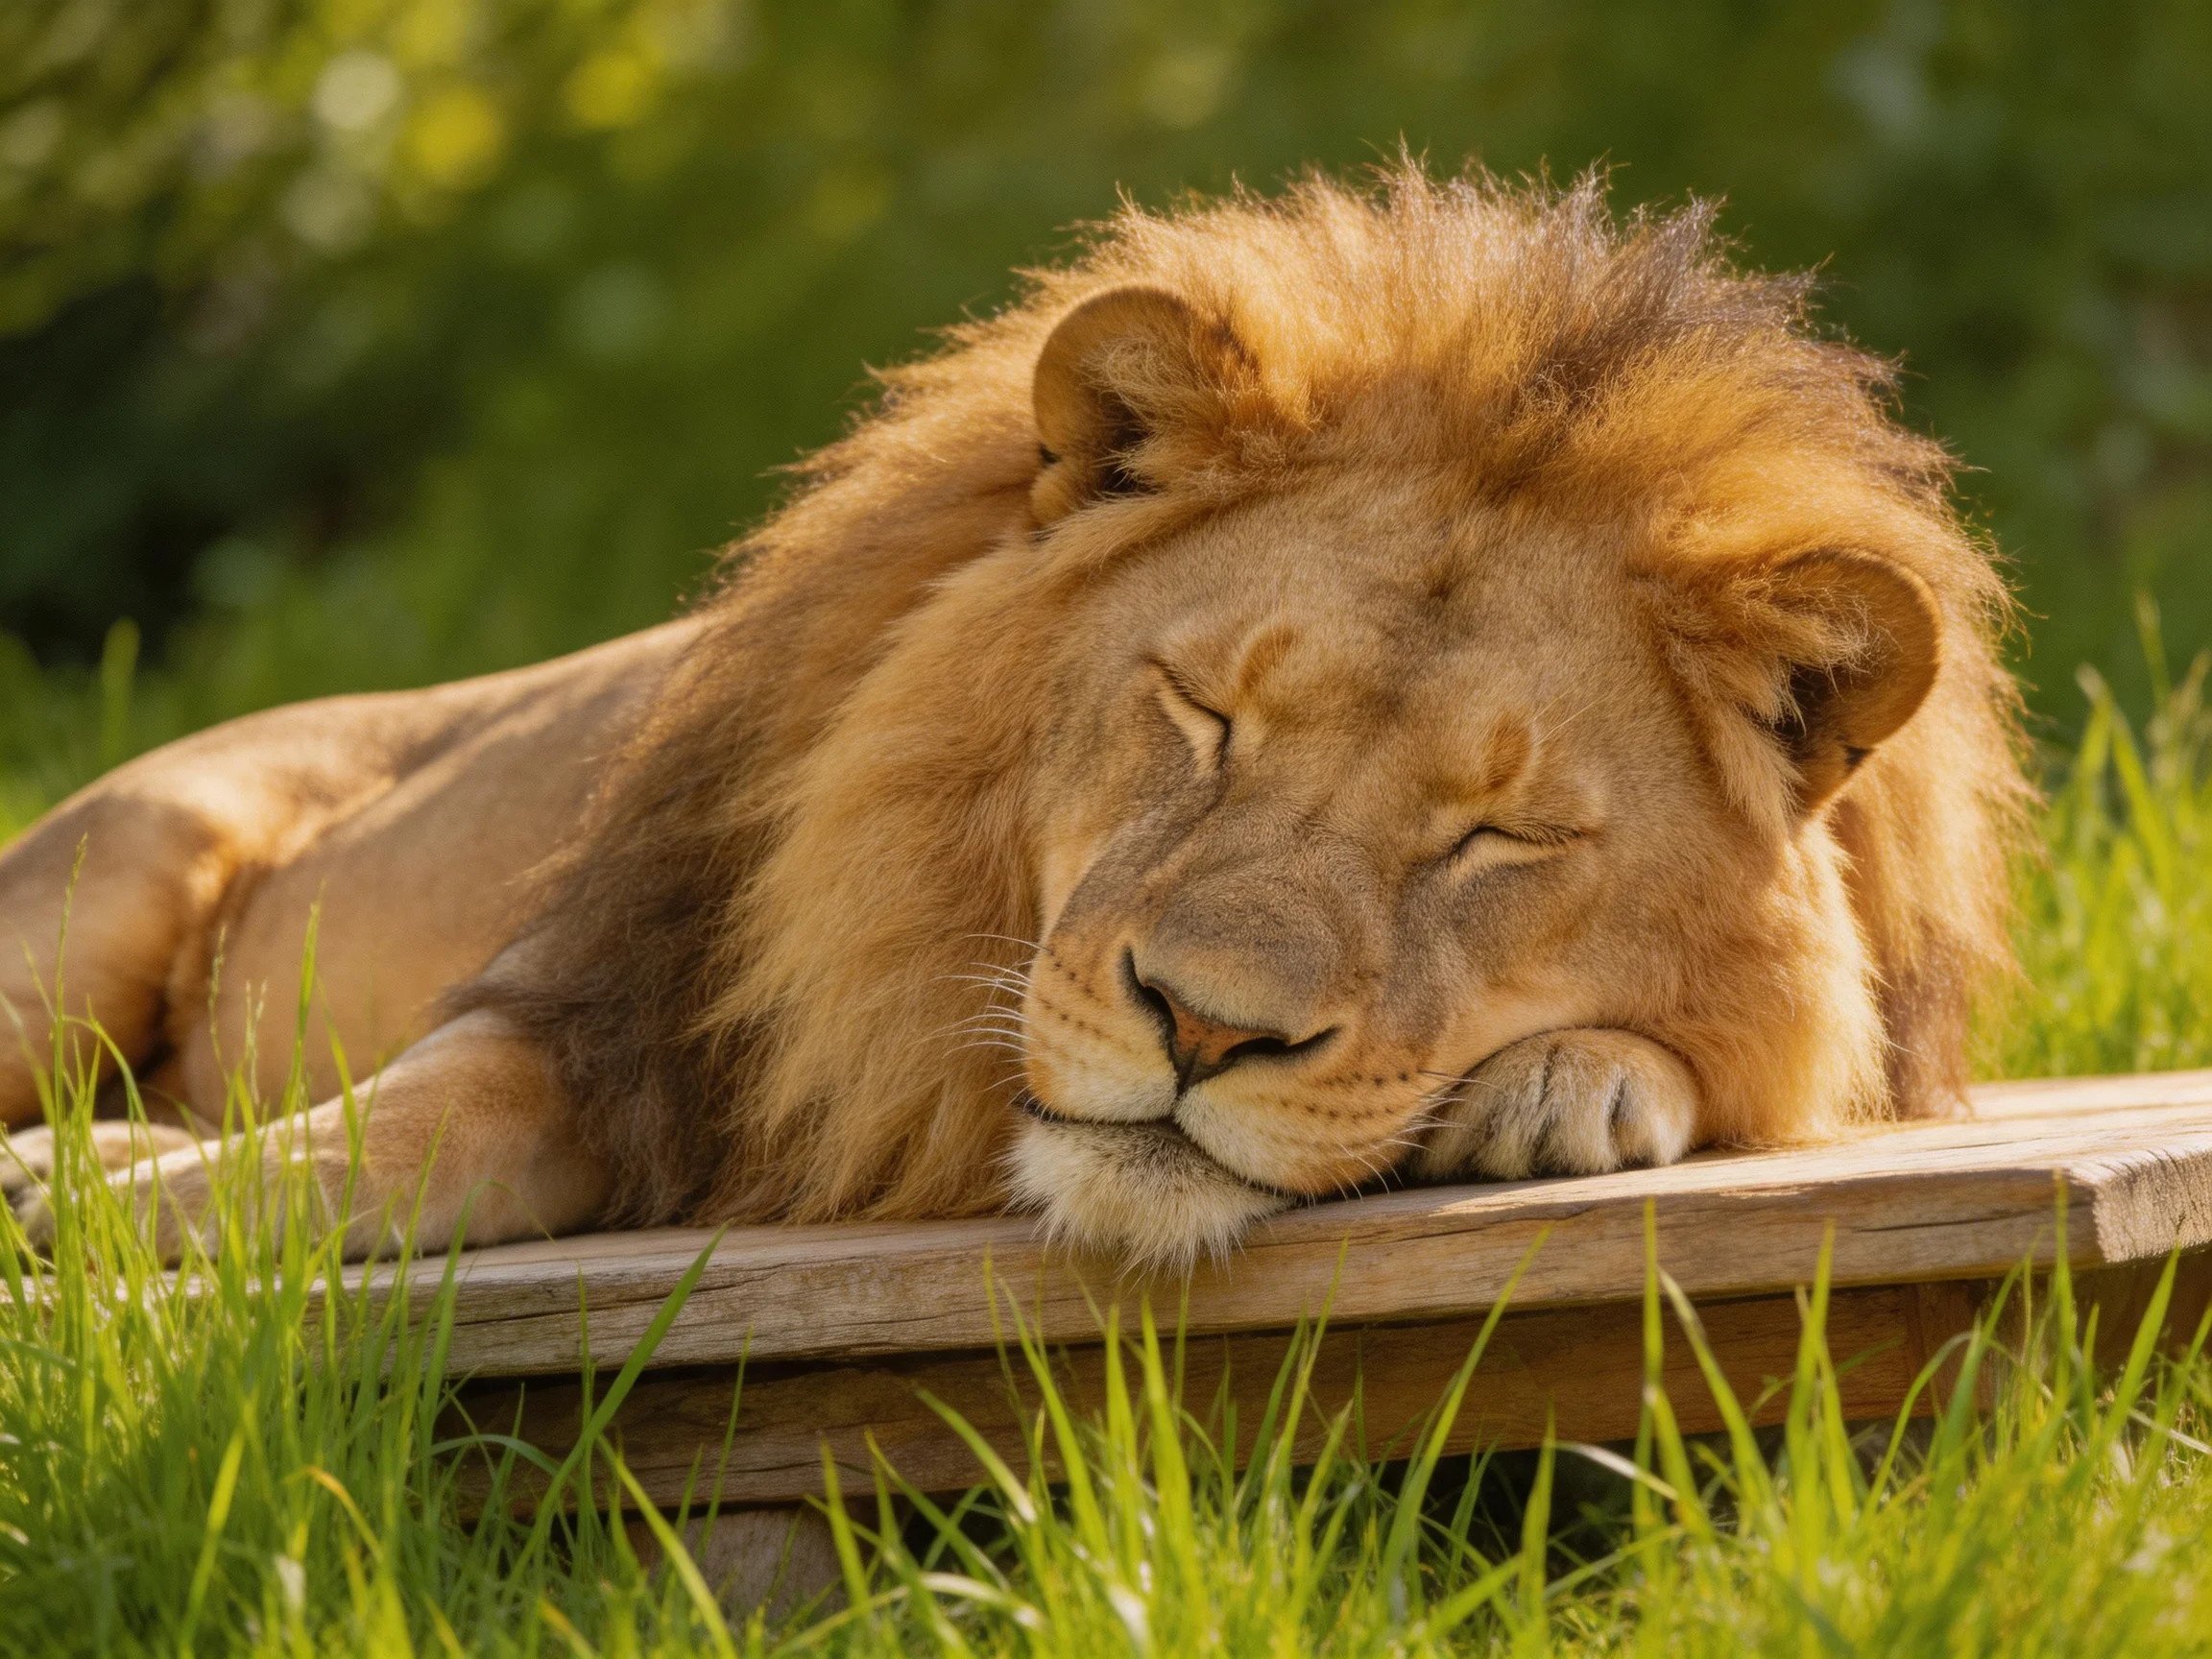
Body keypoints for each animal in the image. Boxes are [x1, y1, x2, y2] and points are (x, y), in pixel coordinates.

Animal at [0, 166, 2027, 1269]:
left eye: (1494, 835)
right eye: (1201, 712)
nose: (1204, 1028)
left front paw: (1581, 1077)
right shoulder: (600, 1006)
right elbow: (379, 1133)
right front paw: (77, 1211)